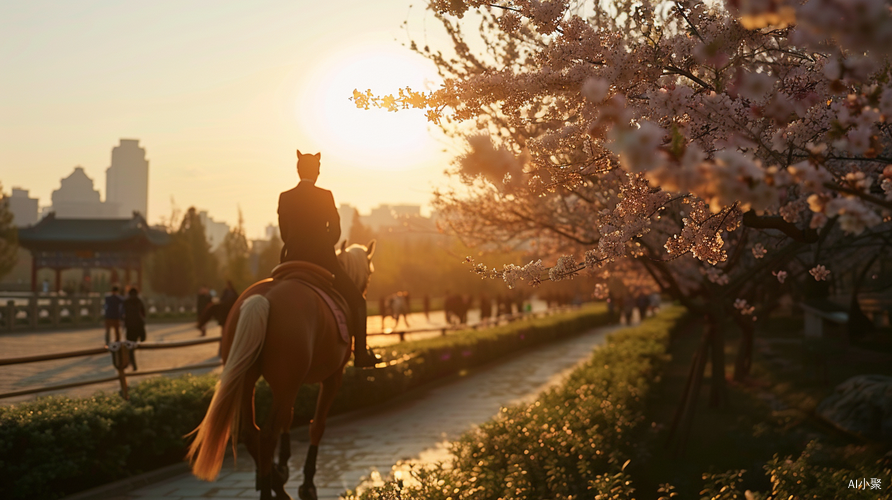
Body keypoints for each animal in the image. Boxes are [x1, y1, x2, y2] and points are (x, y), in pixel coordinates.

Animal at [186, 240, 374, 498]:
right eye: (371, 272)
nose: (365, 291)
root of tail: (261, 300)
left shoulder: (293, 383)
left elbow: (290, 416)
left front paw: (283, 466)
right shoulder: (332, 377)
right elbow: (316, 426)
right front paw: (307, 484)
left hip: (250, 380)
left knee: (251, 433)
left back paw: (273, 480)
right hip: (286, 382)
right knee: (267, 435)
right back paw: (274, 490)